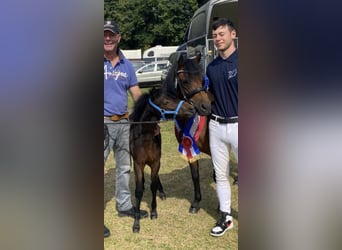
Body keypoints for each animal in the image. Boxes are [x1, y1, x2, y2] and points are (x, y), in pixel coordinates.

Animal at [130, 87, 195, 232]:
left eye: (175, 97)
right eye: (166, 102)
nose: (191, 108)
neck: (145, 138)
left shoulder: (156, 162)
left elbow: (153, 186)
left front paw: (154, 212)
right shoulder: (138, 164)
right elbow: (138, 190)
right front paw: (136, 223)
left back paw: (162, 192)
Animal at [164, 52, 214, 213]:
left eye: (202, 80)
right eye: (185, 81)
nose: (206, 107)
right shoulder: (190, 150)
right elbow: (195, 175)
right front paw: (196, 203)